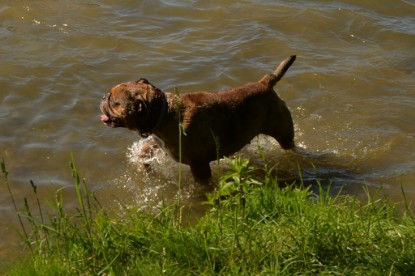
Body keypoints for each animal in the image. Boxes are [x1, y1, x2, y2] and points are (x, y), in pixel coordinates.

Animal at [100, 55, 296, 182]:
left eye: (113, 101)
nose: (103, 97)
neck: (163, 113)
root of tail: (265, 83)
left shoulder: (199, 166)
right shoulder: (162, 143)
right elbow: (145, 149)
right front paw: (145, 167)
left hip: (283, 131)